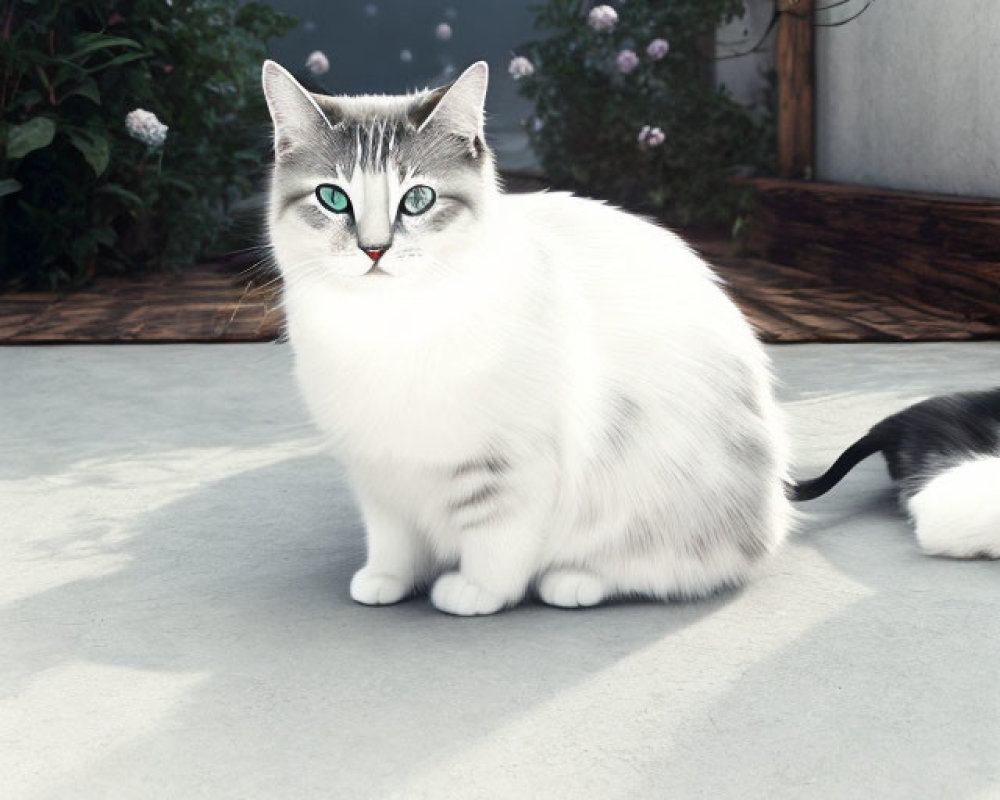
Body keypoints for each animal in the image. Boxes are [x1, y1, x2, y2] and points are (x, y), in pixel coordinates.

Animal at [262, 59, 792, 616]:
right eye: (333, 198)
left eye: (419, 200)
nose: (374, 250)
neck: (388, 329)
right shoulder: (380, 472)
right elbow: (393, 541)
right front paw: (387, 579)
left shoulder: (508, 466)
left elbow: (496, 541)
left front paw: (476, 591)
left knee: (667, 569)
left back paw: (573, 581)